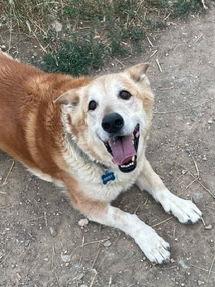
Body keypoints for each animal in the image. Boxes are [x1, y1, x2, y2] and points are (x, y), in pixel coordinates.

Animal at [0, 52, 202, 266]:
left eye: (125, 94)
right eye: (92, 105)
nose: (112, 122)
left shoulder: (138, 162)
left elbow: (158, 183)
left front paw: (179, 204)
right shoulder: (88, 205)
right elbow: (125, 217)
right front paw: (151, 241)